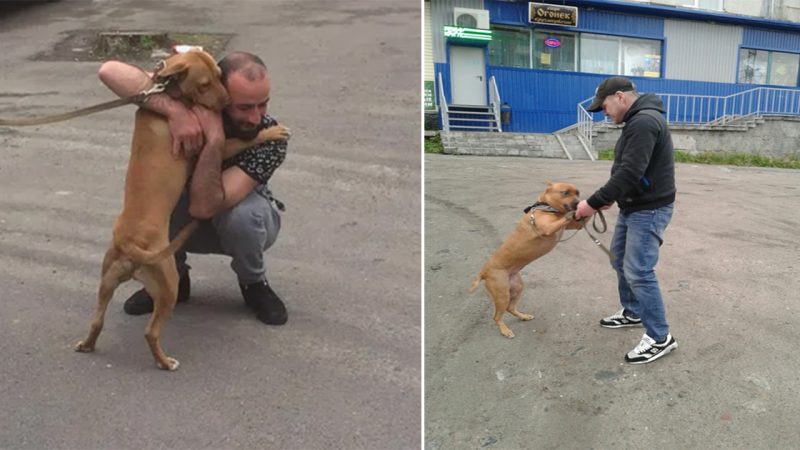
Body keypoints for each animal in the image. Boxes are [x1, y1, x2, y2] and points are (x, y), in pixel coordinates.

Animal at [73, 51, 290, 370]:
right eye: (204, 84)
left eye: (219, 76)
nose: (226, 102)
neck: (173, 96)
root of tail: (131, 246)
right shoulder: (214, 144)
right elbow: (243, 139)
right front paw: (270, 131)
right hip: (168, 284)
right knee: (151, 332)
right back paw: (165, 362)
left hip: (106, 282)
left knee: (96, 321)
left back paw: (87, 345)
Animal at [468, 181, 580, 340]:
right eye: (565, 193)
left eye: (578, 193)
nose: (577, 203)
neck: (547, 208)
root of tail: (484, 271)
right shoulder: (548, 227)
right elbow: (564, 218)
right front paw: (571, 213)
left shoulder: (576, 225)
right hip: (502, 294)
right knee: (496, 316)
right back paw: (505, 330)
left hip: (517, 287)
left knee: (510, 308)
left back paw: (523, 316)